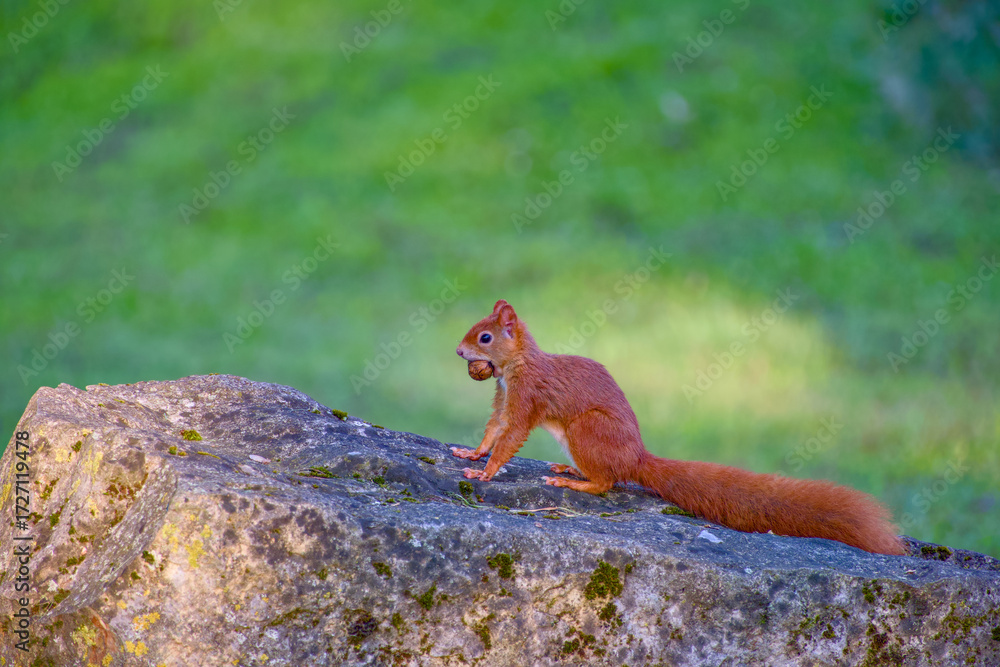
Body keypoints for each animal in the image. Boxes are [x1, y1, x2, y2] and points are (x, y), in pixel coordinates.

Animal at [451, 299, 906, 556]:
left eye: (485, 337)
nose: (458, 351)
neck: (518, 365)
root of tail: (637, 458)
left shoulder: (528, 398)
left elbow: (511, 437)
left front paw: (485, 472)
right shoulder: (504, 399)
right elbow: (494, 428)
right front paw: (472, 453)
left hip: (586, 430)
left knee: (607, 482)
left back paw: (572, 481)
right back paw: (569, 470)